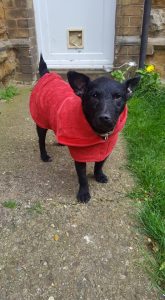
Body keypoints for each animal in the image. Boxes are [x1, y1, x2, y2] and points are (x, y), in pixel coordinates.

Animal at [29, 55, 139, 203]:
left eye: (118, 96)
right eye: (94, 96)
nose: (104, 117)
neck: (99, 133)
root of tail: (47, 74)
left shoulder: (106, 150)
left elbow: (99, 164)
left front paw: (99, 175)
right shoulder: (80, 157)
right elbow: (82, 177)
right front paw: (84, 193)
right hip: (41, 122)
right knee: (41, 141)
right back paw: (44, 155)